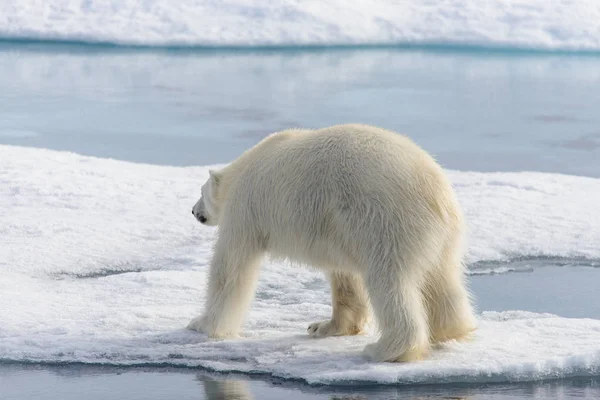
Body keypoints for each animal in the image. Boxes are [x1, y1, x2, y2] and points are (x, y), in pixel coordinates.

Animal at [190, 123, 476, 360]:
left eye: (201, 192)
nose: (194, 211)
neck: (243, 168)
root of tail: (436, 194)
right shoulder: (336, 230)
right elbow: (344, 277)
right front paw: (322, 326)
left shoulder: (245, 209)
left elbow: (231, 267)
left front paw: (201, 324)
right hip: (440, 236)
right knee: (443, 278)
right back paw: (450, 330)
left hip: (387, 222)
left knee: (390, 281)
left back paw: (386, 349)